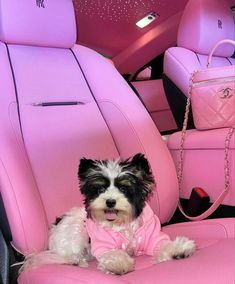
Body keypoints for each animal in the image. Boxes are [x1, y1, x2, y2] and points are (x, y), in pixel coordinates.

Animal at [22, 153, 196, 276]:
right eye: (100, 189)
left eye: (124, 189)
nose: (110, 201)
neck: (122, 222)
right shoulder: (103, 243)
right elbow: (111, 253)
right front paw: (119, 264)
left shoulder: (152, 235)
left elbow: (162, 244)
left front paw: (178, 249)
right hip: (78, 229)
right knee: (69, 254)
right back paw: (76, 261)